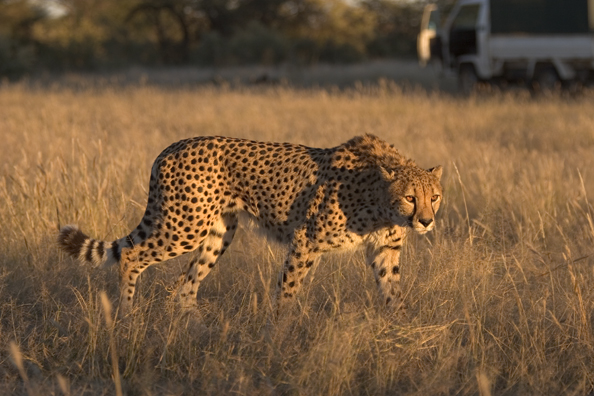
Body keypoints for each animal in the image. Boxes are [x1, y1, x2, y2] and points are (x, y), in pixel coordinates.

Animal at [59, 135, 440, 318]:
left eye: (434, 197)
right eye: (410, 197)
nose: (426, 221)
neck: (380, 200)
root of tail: (171, 147)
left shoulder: (385, 250)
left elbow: (393, 294)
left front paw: (402, 330)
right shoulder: (305, 241)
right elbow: (287, 292)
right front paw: (279, 335)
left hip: (218, 233)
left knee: (185, 286)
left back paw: (199, 331)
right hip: (186, 226)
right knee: (132, 256)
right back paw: (127, 317)